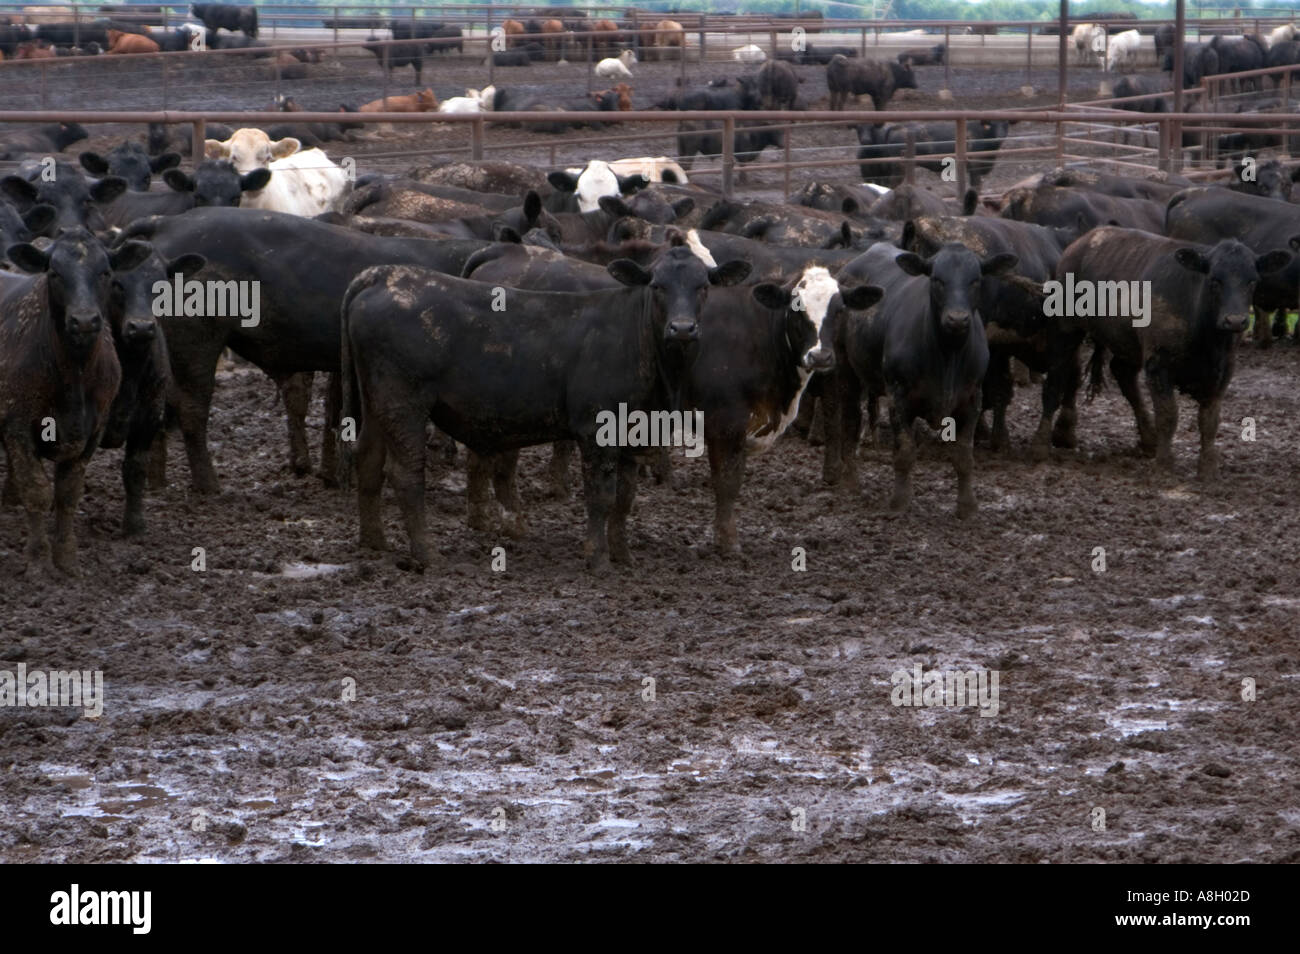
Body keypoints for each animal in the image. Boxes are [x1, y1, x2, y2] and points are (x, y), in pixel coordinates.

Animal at [0, 229, 152, 573]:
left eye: (106, 272)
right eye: (54, 273)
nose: (84, 321)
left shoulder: (91, 432)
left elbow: (68, 493)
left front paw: (66, 558)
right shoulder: (17, 426)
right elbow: (37, 490)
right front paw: (38, 558)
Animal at [338, 242, 750, 569]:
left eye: (703, 286)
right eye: (657, 286)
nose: (682, 329)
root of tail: (380, 274)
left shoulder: (634, 432)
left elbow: (625, 497)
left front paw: (624, 556)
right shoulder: (597, 429)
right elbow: (601, 495)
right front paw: (598, 558)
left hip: (377, 403)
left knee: (368, 459)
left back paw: (375, 541)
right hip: (403, 403)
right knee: (406, 474)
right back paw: (427, 554)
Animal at [1053, 227, 1291, 480]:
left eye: (1252, 281)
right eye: (1214, 280)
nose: (1235, 320)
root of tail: (1088, 237)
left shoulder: (1224, 369)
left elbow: (1209, 420)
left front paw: (1208, 468)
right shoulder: (1159, 364)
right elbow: (1168, 415)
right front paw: (1165, 464)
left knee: (1123, 374)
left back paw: (1149, 440)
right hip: (1070, 326)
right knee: (1072, 371)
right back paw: (1064, 433)